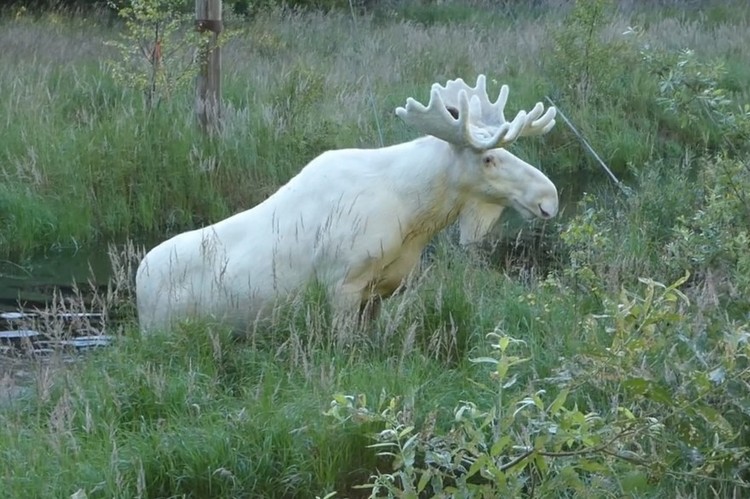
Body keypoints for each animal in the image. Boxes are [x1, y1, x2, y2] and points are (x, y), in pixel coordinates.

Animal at [135, 74, 559, 334]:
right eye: (488, 158)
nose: (549, 198)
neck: (416, 214)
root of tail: (138, 283)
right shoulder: (341, 285)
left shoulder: (379, 291)